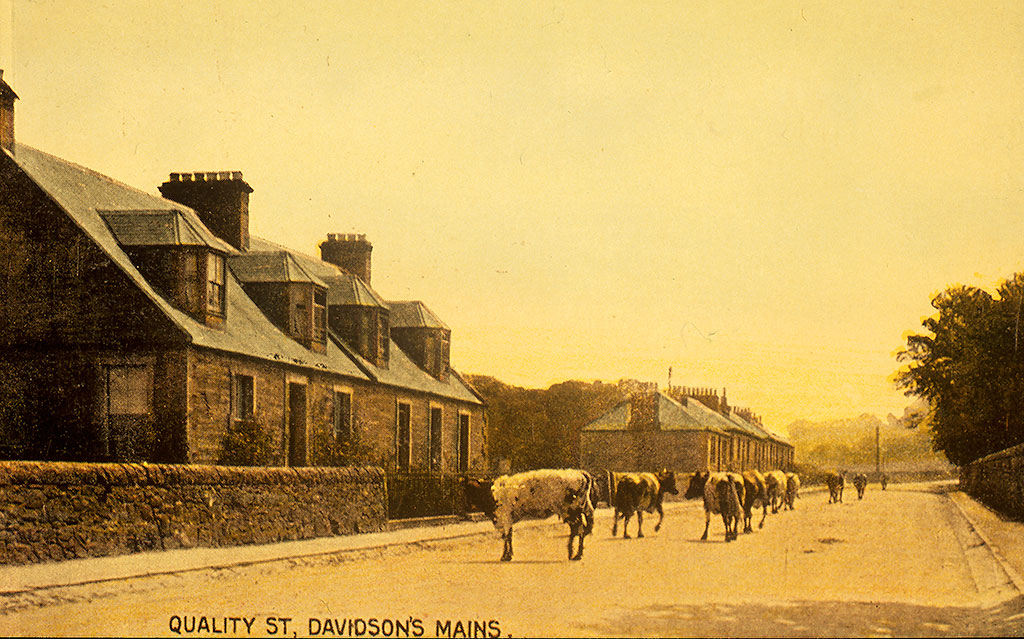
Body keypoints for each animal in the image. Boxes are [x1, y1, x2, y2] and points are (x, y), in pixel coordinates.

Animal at [466, 466, 598, 561]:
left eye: (471, 491)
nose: (468, 508)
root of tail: (578, 472)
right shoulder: (507, 519)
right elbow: (509, 536)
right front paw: (509, 555)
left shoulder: (505, 517)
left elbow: (506, 537)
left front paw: (505, 556)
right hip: (580, 509)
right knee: (582, 526)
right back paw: (573, 553)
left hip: (571, 511)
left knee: (580, 529)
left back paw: (576, 554)